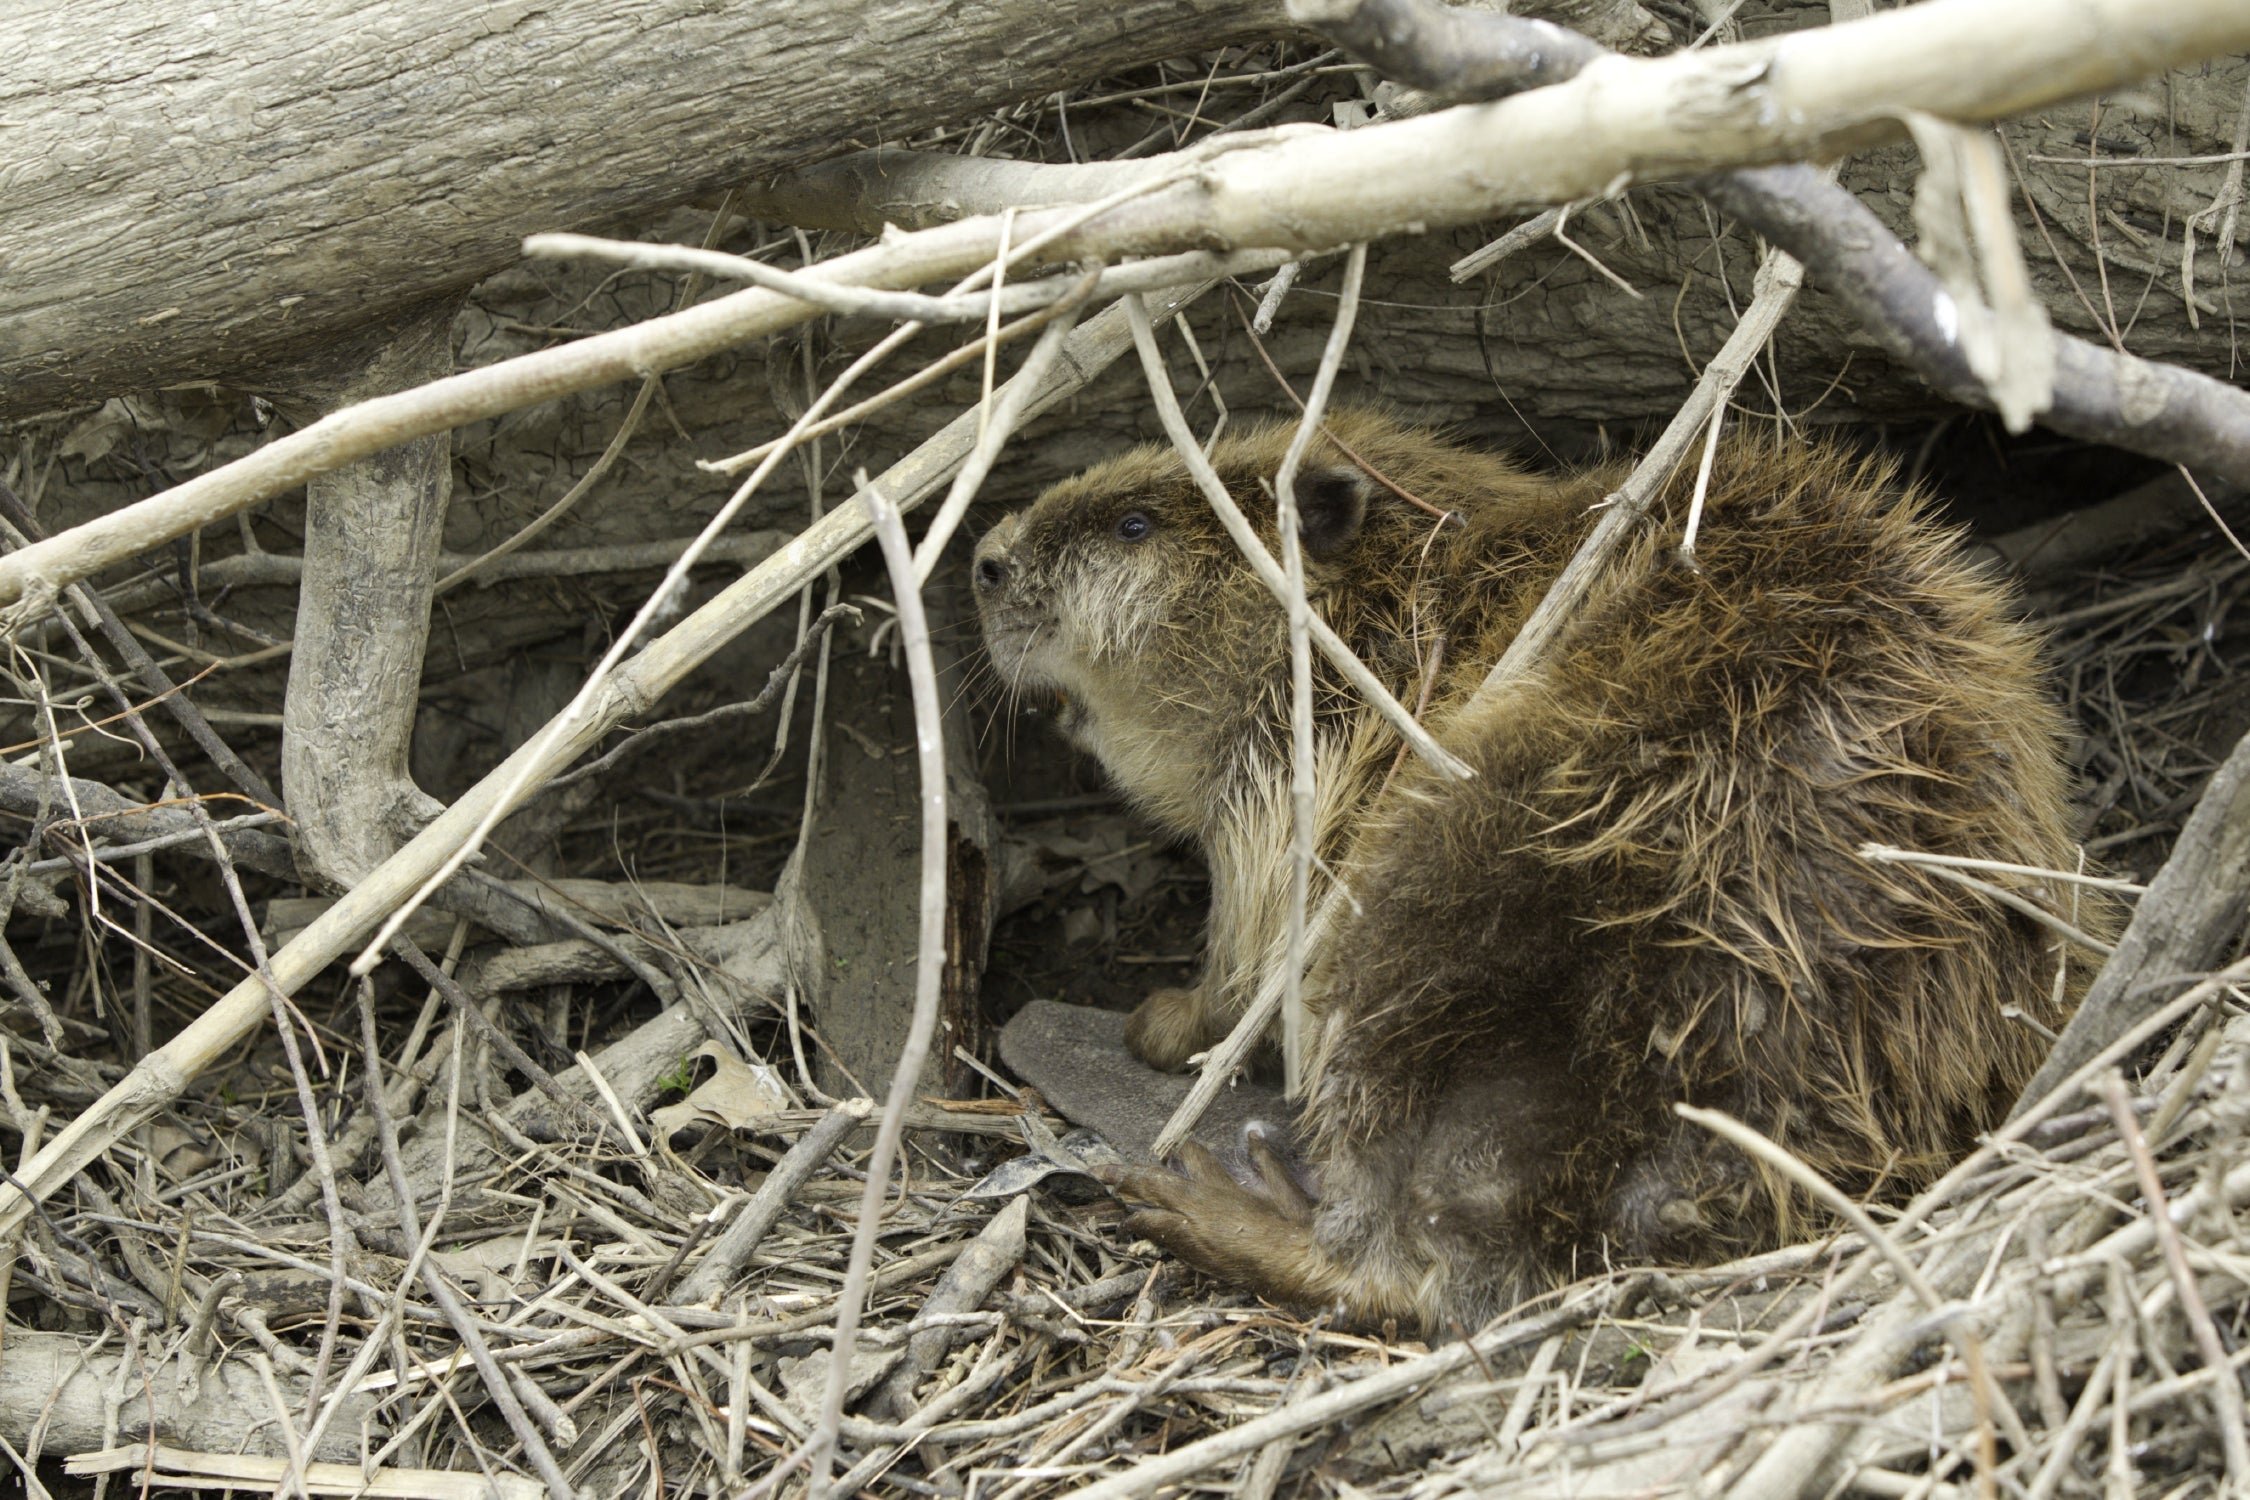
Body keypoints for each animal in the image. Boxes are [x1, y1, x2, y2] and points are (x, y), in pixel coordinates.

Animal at [976, 413, 2097, 1340]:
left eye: (1132, 524)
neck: (1401, 605)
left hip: (1445, 893)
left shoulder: (1300, 767)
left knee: (1409, 1263)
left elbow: (1252, 943)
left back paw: (1208, 1192)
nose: (985, 559)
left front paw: (1164, 1021)